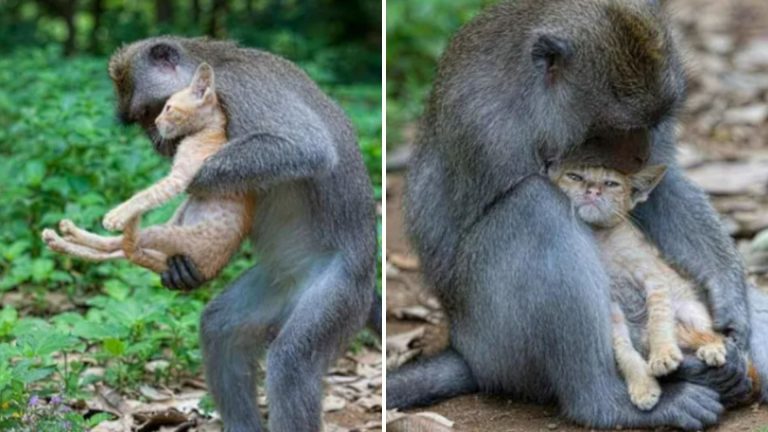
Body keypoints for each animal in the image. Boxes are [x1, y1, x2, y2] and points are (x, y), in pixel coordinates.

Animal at [42, 63, 255, 280]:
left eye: (168, 108)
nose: (157, 122)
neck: (210, 131)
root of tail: (208, 271)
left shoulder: (179, 179)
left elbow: (145, 194)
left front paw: (117, 215)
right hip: (173, 220)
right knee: (119, 251)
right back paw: (60, 237)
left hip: (166, 233)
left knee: (122, 247)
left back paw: (68, 235)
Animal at [109, 37, 380, 432]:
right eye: (142, 119)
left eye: (154, 110)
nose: (158, 142)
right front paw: (180, 267)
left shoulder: (242, 90)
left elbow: (306, 147)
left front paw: (188, 179)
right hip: (277, 285)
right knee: (220, 329)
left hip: (339, 293)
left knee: (291, 364)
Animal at [548, 164, 724, 410]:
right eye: (575, 177)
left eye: (611, 183)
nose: (592, 191)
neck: (603, 239)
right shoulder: (611, 304)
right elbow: (624, 351)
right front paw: (643, 386)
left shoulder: (654, 279)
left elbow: (659, 321)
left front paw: (663, 355)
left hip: (689, 309)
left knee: (714, 334)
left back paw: (712, 348)